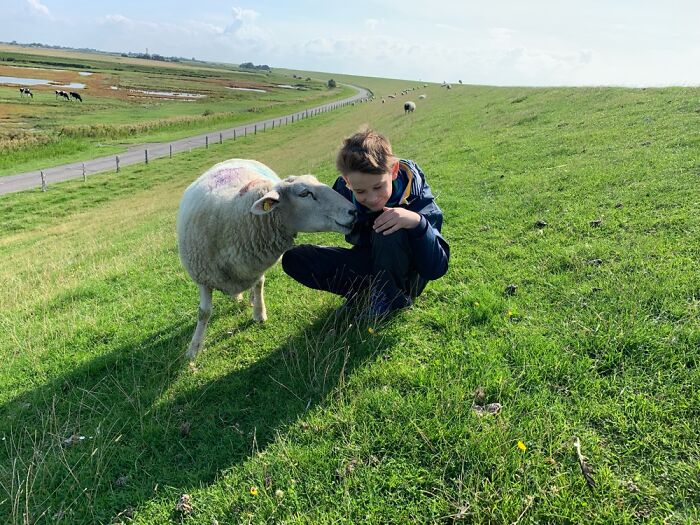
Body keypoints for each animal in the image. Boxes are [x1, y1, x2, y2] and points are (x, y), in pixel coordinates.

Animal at [177, 158, 357, 359]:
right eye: (304, 193)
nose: (353, 211)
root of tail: (234, 159)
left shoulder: (255, 265)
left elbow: (259, 284)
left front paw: (259, 312)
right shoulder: (203, 276)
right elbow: (204, 312)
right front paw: (194, 349)